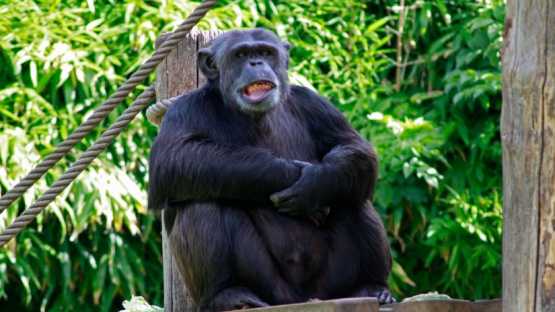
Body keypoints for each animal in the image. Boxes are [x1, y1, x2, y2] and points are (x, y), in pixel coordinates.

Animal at [148, 28, 396, 310]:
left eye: (266, 52)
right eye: (241, 55)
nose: (256, 63)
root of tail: (304, 298)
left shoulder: (314, 103)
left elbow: (356, 148)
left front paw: (314, 183)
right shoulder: (184, 109)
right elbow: (172, 158)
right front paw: (288, 175)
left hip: (333, 284)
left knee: (351, 194)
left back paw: (371, 286)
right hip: (269, 286)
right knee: (201, 202)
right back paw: (228, 294)